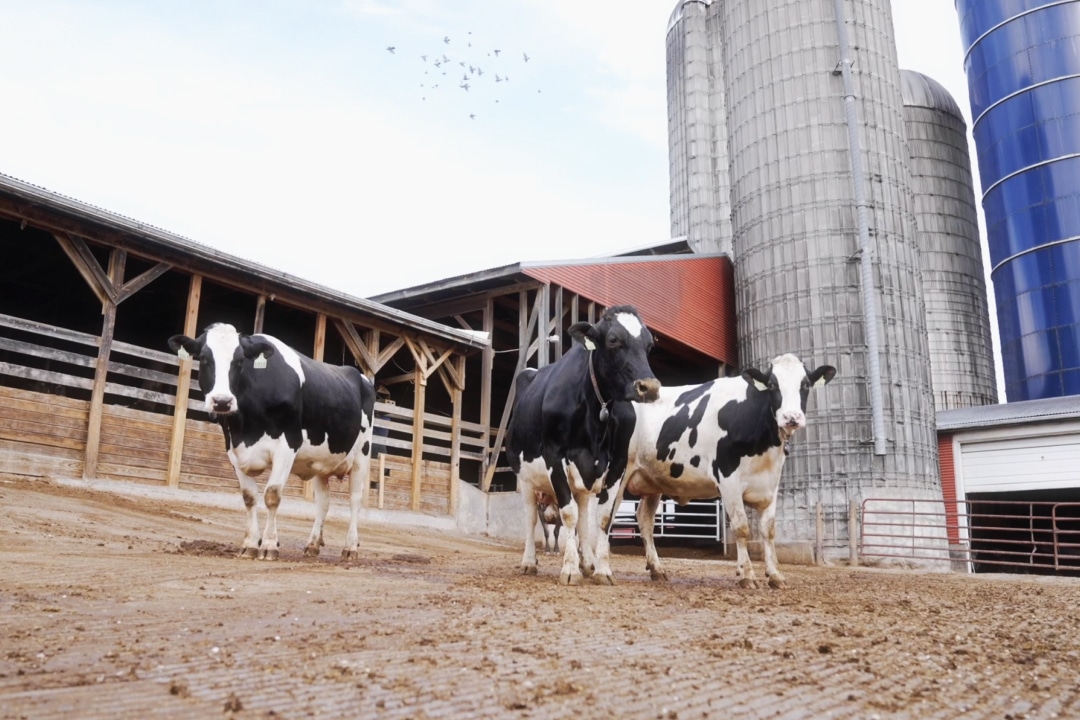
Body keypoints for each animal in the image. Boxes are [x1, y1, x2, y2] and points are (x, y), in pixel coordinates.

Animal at [168, 323, 376, 561]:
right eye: (203, 358)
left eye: (240, 360)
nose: (222, 401)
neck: (246, 429)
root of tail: (359, 375)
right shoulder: (233, 451)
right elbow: (249, 498)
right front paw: (249, 544)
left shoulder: (287, 446)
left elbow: (272, 496)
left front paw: (268, 545)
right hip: (321, 462)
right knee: (323, 502)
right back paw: (312, 544)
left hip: (362, 454)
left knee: (354, 501)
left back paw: (350, 548)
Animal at [507, 305, 661, 585]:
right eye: (613, 340)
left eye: (649, 345)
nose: (650, 388)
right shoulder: (554, 457)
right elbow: (567, 514)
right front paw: (570, 569)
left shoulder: (617, 464)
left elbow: (601, 518)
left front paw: (601, 570)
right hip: (525, 479)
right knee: (531, 518)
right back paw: (529, 562)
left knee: (583, 518)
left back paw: (588, 562)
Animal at [618, 353, 835, 588]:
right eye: (772, 385)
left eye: (805, 384)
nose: (791, 417)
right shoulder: (728, 480)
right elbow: (742, 527)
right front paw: (748, 575)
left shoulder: (771, 484)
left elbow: (769, 530)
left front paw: (775, 575)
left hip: (652, 481)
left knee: (645, 519)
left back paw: (657, 569)